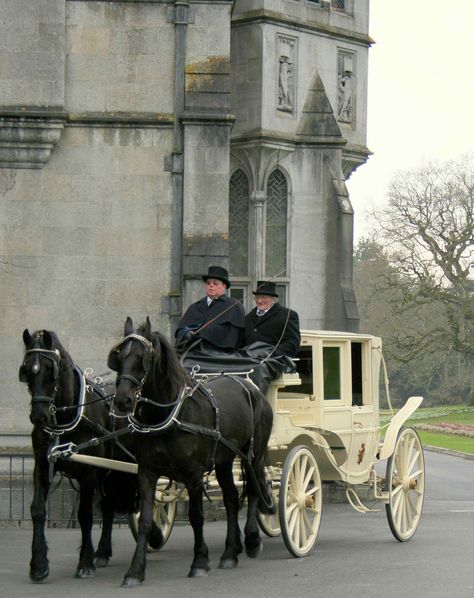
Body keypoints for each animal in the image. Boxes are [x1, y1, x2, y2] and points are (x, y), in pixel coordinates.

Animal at [19, 330, 159, 584]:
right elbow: (37, 510)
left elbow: (85, 515)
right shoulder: (42, 466)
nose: (39, 416)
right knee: (109, 506)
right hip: (111, 471)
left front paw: (84, 563)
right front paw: (39, 565)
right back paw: (102, 552)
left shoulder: (89, 472)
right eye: (26, 370)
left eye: (50, 369)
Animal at [108, 316, 274, 588]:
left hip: (254, 455)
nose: (122, 400)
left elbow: (197, 516)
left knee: (253, 489)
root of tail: (247, 385)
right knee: (231, 498)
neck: (169, 414)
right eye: (119, 356)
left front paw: (200, 562)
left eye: (143, 357)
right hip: (224, 461)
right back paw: (230, 552)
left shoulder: (193, 475)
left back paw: (251, 540)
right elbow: (145, 521)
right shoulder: (147, 472)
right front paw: (135, 571)